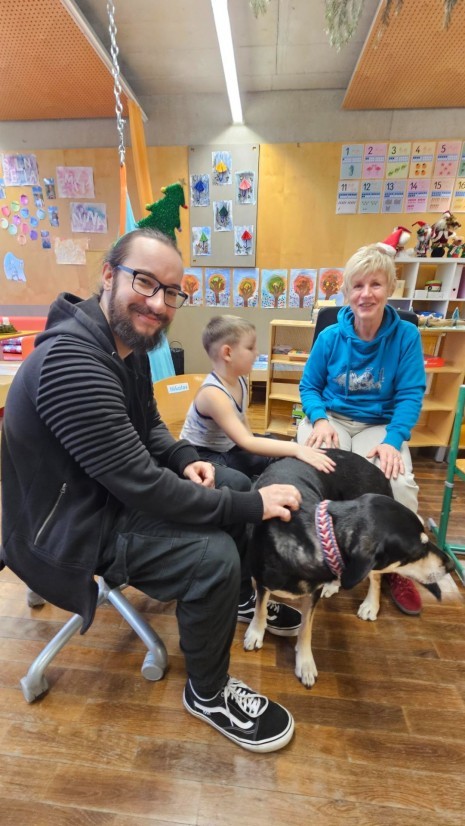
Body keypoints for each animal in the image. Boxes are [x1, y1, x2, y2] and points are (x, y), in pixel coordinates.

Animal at [244, 449, 454, 687]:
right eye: (417, 550)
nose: (451, 564)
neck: (318, 536)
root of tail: (376, 469)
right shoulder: (261, 580)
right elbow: (261, 608)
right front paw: (255, 633)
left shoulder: (312, 594)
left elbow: (306, 628)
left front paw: (305, 662)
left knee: (376, 578)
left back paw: (370, 604)